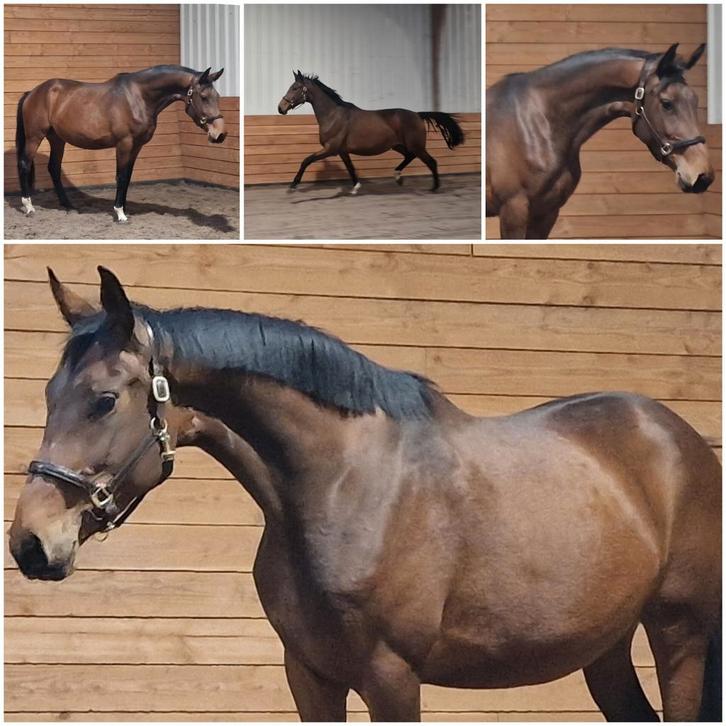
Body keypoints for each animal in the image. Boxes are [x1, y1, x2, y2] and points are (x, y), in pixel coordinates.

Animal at [9, 267, 721, 722]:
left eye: (104, 400)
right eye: (46, 393)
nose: (31, 544)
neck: (343, 488)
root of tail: (679, 438)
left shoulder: (391, 677)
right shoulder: (310, 676)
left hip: (680, 633)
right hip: (606, 647)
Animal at [15, 65, 226, 223]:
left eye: (217, 96)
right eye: (203, 96)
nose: (220, 134)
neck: (139, 97)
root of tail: (32, 92)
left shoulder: (136, 146)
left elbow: (128, 177)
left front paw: (124, 208)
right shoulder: (124, 144)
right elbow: (121, 176)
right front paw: (120, 213)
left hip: (57, 139)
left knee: (54, 168)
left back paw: (67, 205)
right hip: (35, 137)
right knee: (25, 164)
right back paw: (29, 206)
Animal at [277, 70, 465, 193]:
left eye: (295, 88)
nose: (281, 108)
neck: (333, 115)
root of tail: (418, 115)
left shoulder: (330, 149)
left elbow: (306, 161)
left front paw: (293, 185)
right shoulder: (342, 151)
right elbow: (350, 167)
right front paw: (355, 187)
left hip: (416, 146)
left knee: (431, 162)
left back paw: (434, 187)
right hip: (398, 145)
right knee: (409, 156)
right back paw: (398, 177)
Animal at [486, 44, 713, 238]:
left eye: (695, 100)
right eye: (667, 103)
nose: (703, 176)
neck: (537, 123)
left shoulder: (546, 213)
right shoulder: (514, 210)